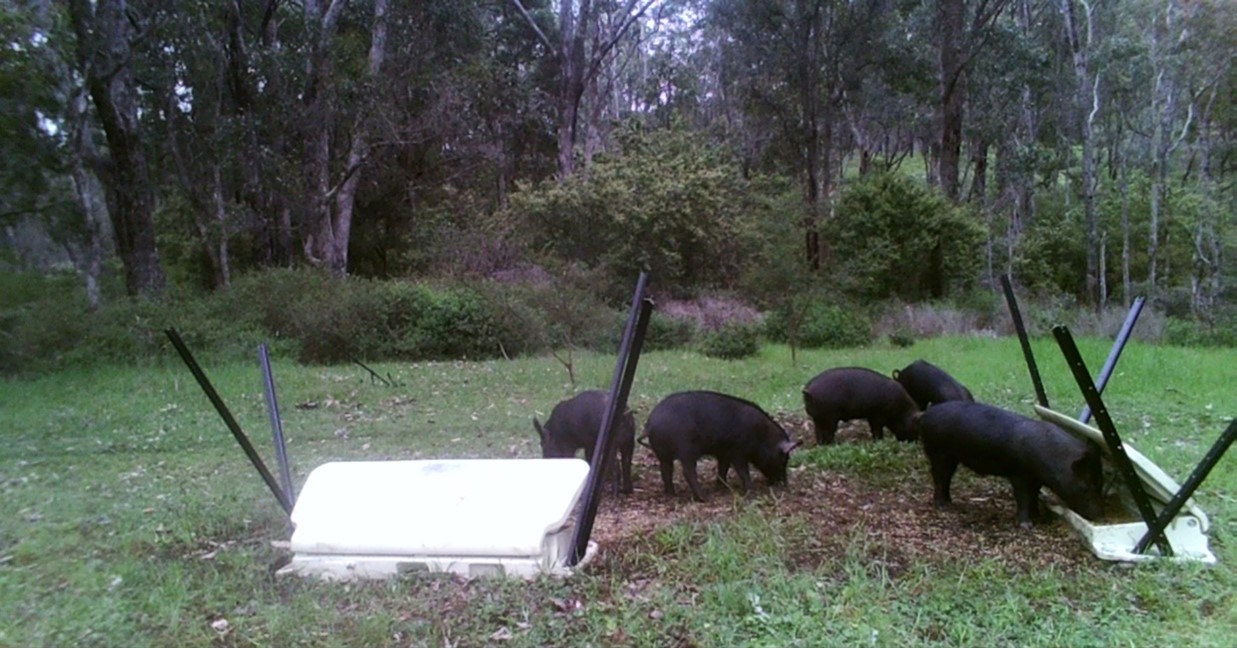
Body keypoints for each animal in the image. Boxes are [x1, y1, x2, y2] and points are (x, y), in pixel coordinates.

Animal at [640, 391, 801, 502]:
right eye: (784, 458)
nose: (785, 484)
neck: (761, 436)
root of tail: (650, 423)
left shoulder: (724, 453)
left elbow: (723, 468)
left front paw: (722, 487)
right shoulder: (737, 451)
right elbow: (742, 470)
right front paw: (751, 490)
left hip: (663, 454)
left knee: (666, 471)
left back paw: (672, 494)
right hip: (686, 449)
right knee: (687, 471)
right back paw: (704, 498)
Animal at [914, 401, 1104, 528]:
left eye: (1100, 484)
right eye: (1085, 487)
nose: (1099, 516)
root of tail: (926, 414)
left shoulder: (1035, 479)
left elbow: (1033, 496)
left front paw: (1038, 517)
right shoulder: (1018, 473)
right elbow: (1023, 497)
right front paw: (1027, 526)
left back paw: (950, 503)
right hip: (938, 451)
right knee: (939, 477)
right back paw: (943, 506)